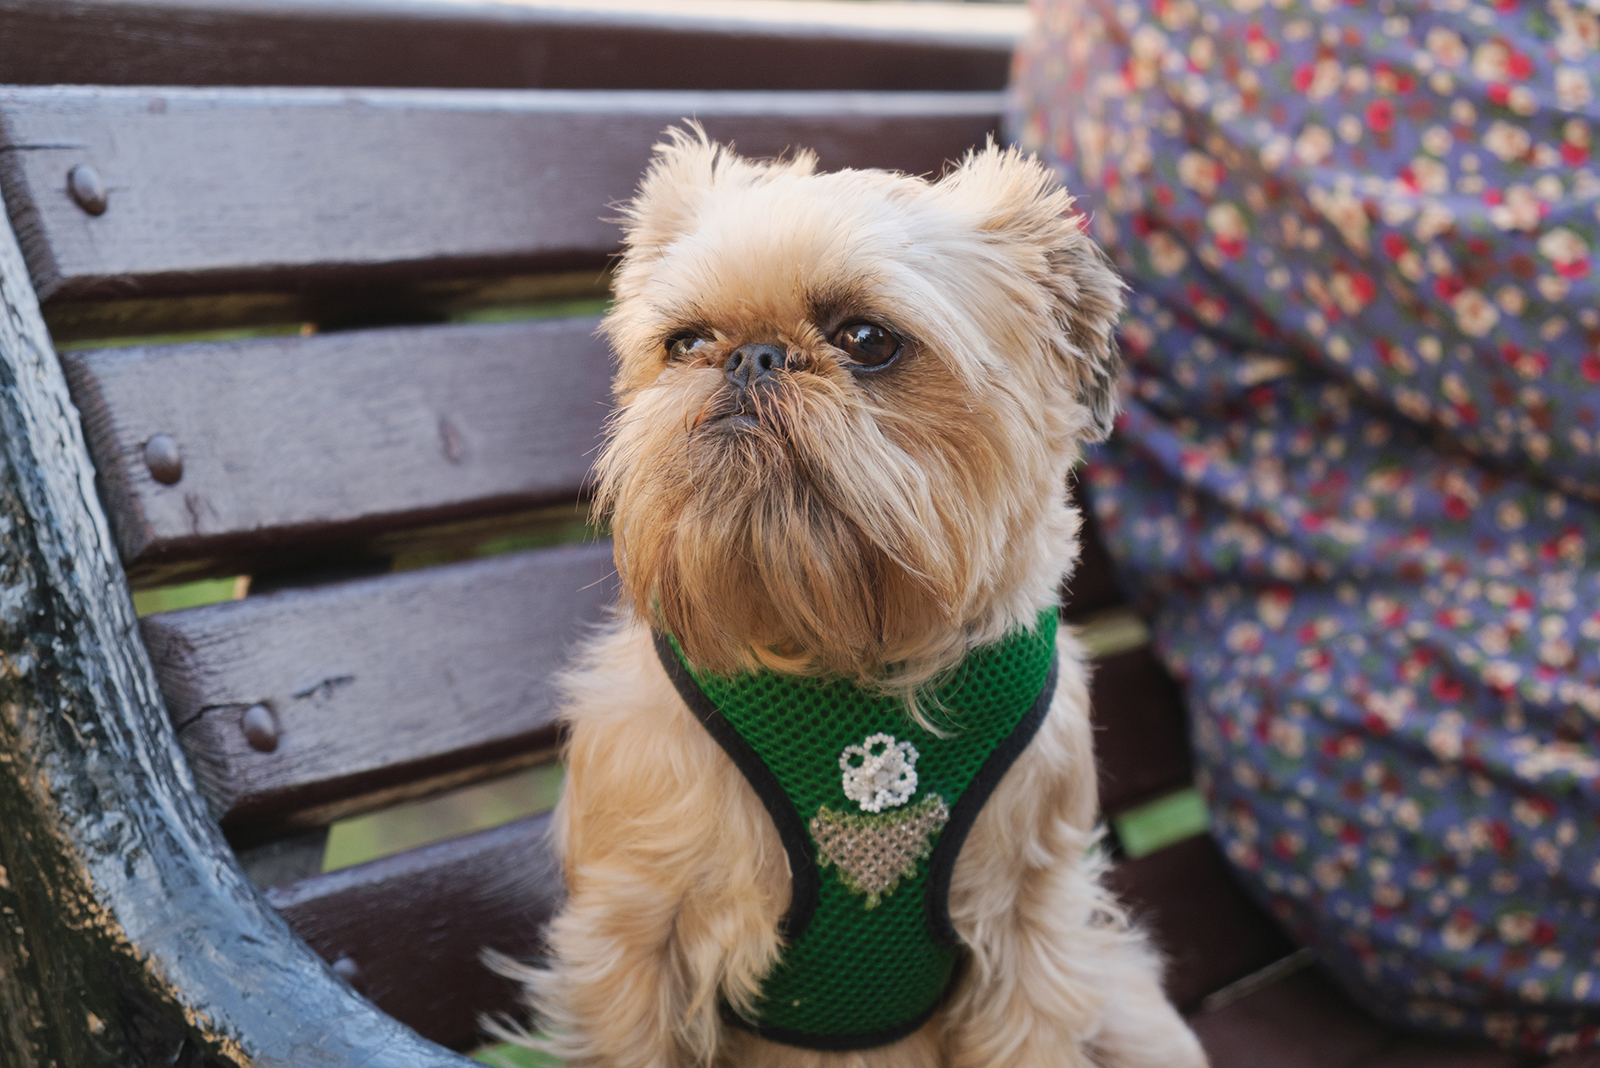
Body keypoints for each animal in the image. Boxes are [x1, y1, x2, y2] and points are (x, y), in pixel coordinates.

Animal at [492, 131, 1203, 1068]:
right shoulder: (632, 947)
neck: (835, 652)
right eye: (685, 343)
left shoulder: (1031, 940)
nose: (750, 355)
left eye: (865, 339)